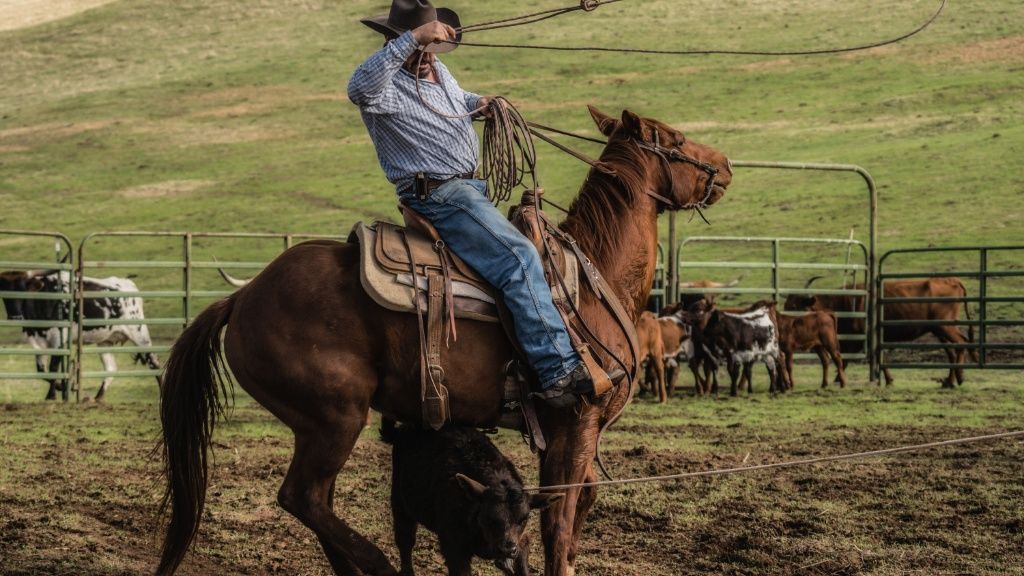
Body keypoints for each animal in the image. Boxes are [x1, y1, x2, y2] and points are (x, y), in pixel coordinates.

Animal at [0, 268, 159, 399]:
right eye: (4, 294)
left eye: (23, 290)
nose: (15, 317)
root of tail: (128, 284)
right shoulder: (36, 341)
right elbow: (42, 371)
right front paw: (64, 387)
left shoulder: (59, 340)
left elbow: (53, 368)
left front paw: (52, 395)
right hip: (105, 341)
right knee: (111, 369)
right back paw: (96, 399)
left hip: (140, 333)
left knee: (154, 363)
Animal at [382, 416, 565, 573]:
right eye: (489, 518)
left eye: (524, 519)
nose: (507, 549)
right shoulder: (453, 545)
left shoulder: (521, 542)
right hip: (400, 502)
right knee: (405, 540)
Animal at [782, 276, 974, 385]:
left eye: (795, 306)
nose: (785, 323)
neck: (845, 302)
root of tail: (952, 280)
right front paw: (889, 379)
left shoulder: (862, 338)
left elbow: (848, 358)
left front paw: (839, 378)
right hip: (939, 330)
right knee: (951, 352)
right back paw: (951, 380)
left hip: (945, 327)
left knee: (961, 343)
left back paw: (958, 378)